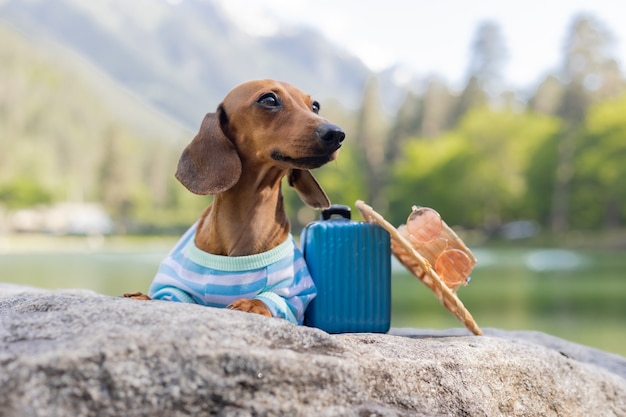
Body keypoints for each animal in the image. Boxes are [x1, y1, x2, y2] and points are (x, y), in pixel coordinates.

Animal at [124, 79, 344, 324]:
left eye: (315, 106)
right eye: (269, 99)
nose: (336, 134)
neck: (245, 222)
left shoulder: (293, 295)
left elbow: (270, 299)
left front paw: (251, 304)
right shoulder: (174, 287)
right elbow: (166, 295)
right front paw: (143, 297)